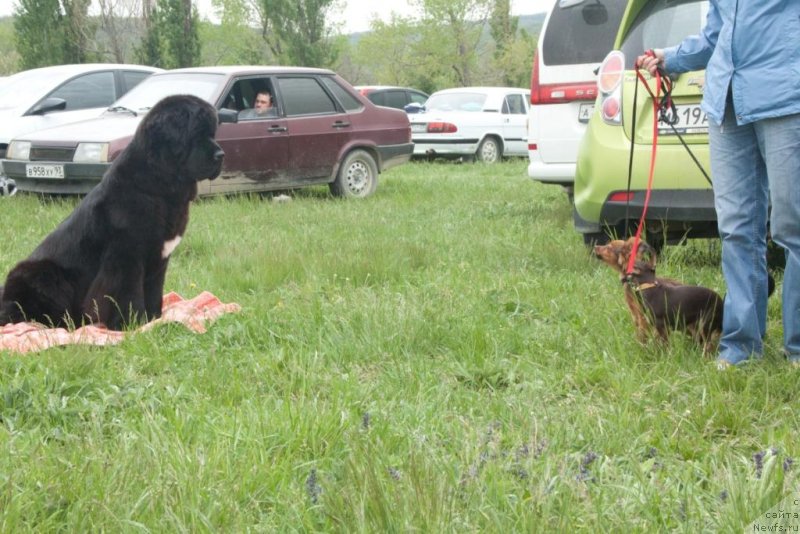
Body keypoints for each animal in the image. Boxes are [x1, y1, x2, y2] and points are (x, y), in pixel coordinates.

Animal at [1, 94, 225, 332]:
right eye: (196, 134)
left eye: (211, 134)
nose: (221, 154)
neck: (158, 190)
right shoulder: (125, 257)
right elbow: (127, 293)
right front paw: (131, 323)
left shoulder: (159, 260)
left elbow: (154, 292)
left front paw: (154, 319)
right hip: (42, 273)